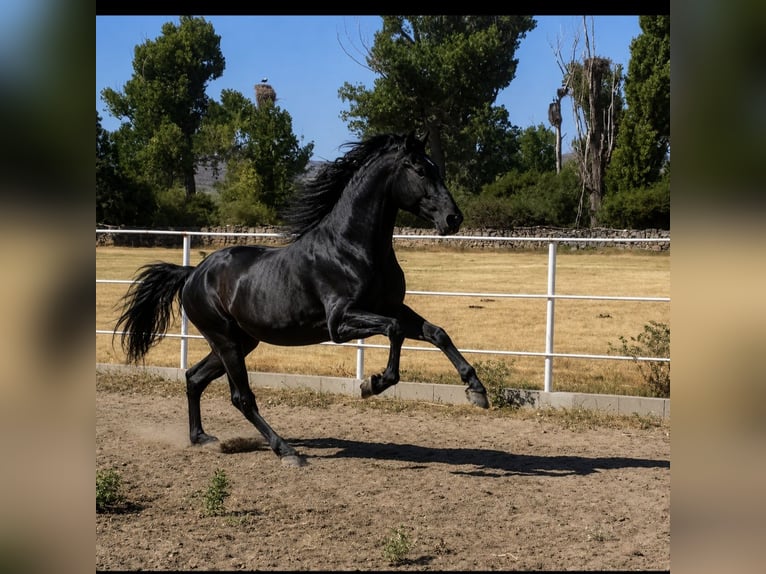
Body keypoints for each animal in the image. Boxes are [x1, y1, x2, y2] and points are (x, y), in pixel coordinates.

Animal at [115, 131, 489, 467]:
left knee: (194, 378)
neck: (352, 248)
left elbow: (436, 333)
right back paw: (286, 451)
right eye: (421, 170)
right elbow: (395, 330)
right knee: (241, 398)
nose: (453, 219)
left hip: (240, 341)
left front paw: (476, 390)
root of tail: (193, 273)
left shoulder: (390, 306)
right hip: (225, 341)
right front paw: (372, 384)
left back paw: (202, 438)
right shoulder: (341, 322)